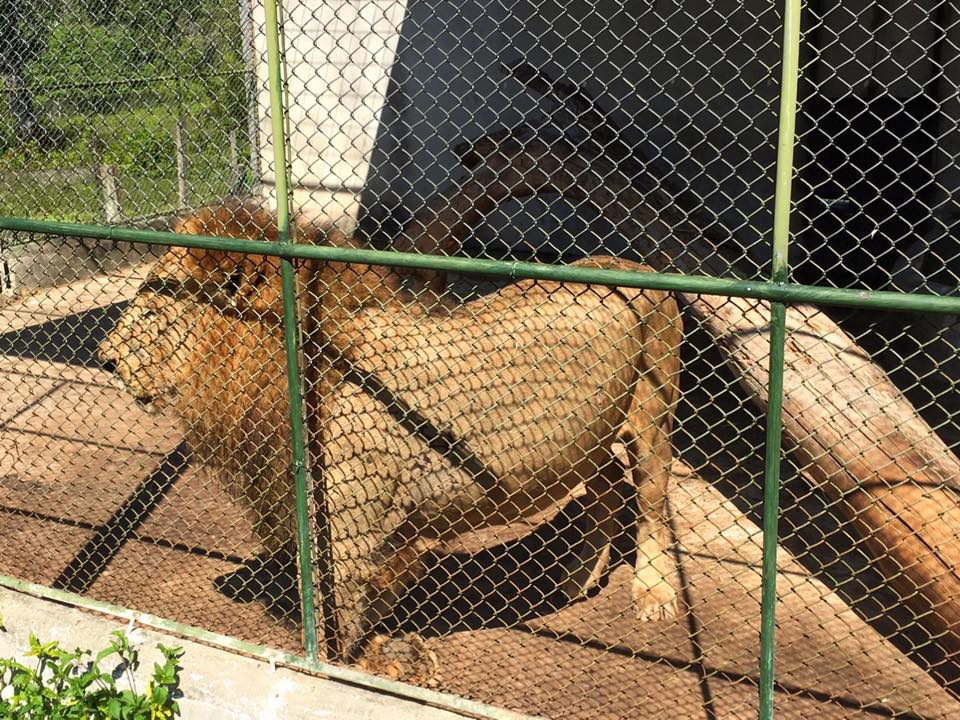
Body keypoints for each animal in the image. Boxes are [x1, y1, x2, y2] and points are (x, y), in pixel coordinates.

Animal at [99, 200, 684, 668]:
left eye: (153, 309)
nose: (104, 358)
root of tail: (640, 265)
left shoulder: (350, 518)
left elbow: (338, 604)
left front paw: (344, 666)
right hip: (588, 440)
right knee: (609, 487)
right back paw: (578, 576)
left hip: (651, 412)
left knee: (652, 502)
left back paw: (652, 595)